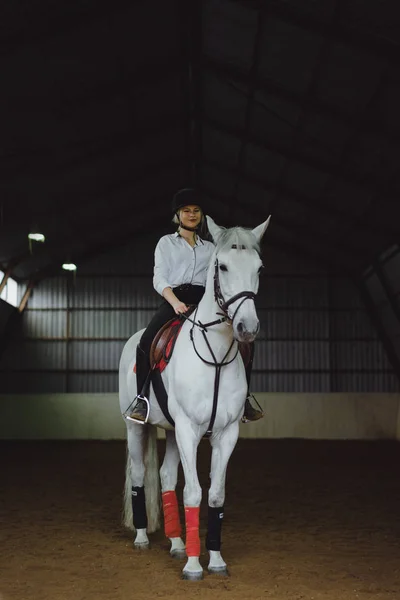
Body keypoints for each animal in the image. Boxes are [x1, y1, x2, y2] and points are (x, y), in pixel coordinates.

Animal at [118, 217, 268, 580]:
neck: (214, 356)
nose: (247, 328)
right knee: (140, 475)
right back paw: (142, 538)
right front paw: (193, 565)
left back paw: (175, 543)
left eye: (259, 268)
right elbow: (194, 492)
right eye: (222, 266)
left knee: (166, 478)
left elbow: (214, 494)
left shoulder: (226, 433)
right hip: (136, 427)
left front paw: (214, 559)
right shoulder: (188, 430)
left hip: (172, 432)